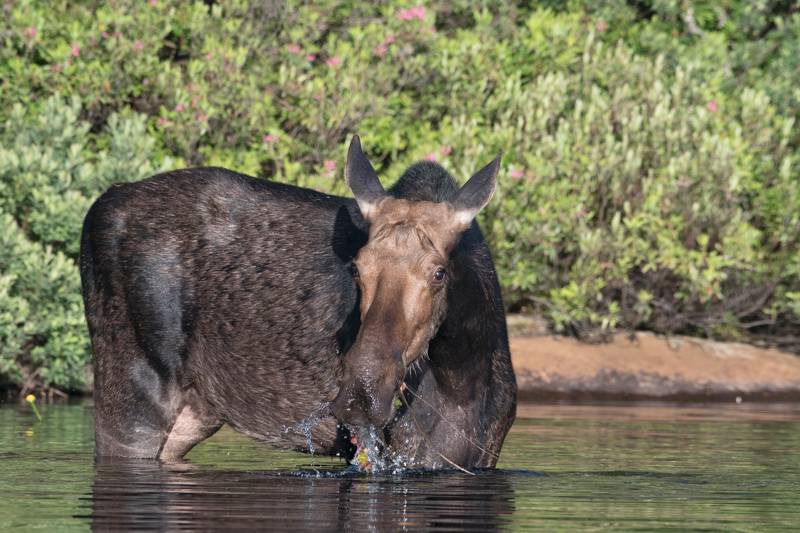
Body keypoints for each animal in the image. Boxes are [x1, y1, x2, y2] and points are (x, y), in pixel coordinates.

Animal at [81, 135, 516, 468]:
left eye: (439, 272)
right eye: (357, 267)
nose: (362, 392)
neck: (462, 374)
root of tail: (94, 210)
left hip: (192, 413)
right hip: (132, 398)